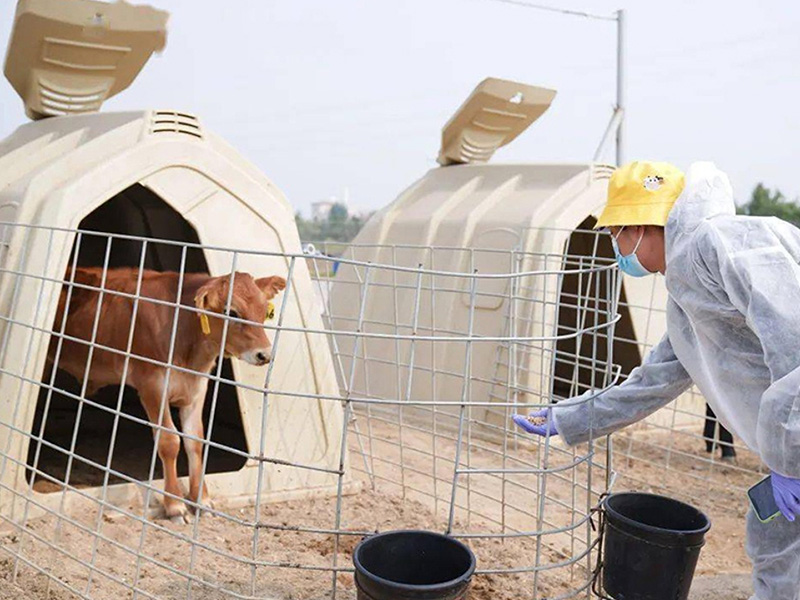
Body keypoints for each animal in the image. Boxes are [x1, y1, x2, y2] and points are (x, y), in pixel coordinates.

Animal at [46, 270, 284, 524]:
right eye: (231, 312)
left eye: (264, 311)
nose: (264, 354)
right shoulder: (152, 386)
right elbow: (169, 441)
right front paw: (175, 506)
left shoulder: (197, 387)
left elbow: (195, 441)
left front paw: (202, 500)